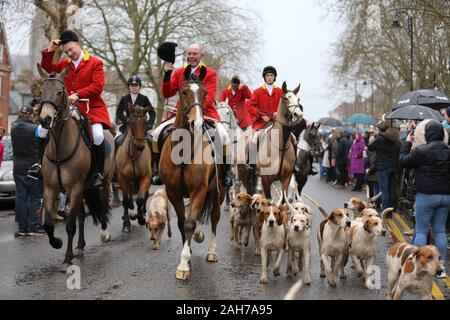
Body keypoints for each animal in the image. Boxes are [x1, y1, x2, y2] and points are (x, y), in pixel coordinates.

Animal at [37, 63, 115, 270]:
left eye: (59, 92)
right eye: (41, 92)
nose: (45, 120)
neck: (59, 145)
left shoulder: (75, 187)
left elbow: (70, 225)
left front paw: (67, 257)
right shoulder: (50, 188)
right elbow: (49, 224)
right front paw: (57, 242)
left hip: (103, 184)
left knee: (102, 207)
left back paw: (104, 234)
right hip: (82, 190)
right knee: (81, 215)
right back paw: (80, 246)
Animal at [160, 65, 227, 280]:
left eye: (205, 93)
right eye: (183, 92)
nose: (196, 124)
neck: (184, 150)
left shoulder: (199, 189)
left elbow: (189, 223)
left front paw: (183, 265)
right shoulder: (173, 191)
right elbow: (183, 222)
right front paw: (187, 256)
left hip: (219, 191)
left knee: (214, 216)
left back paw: (211, 251)